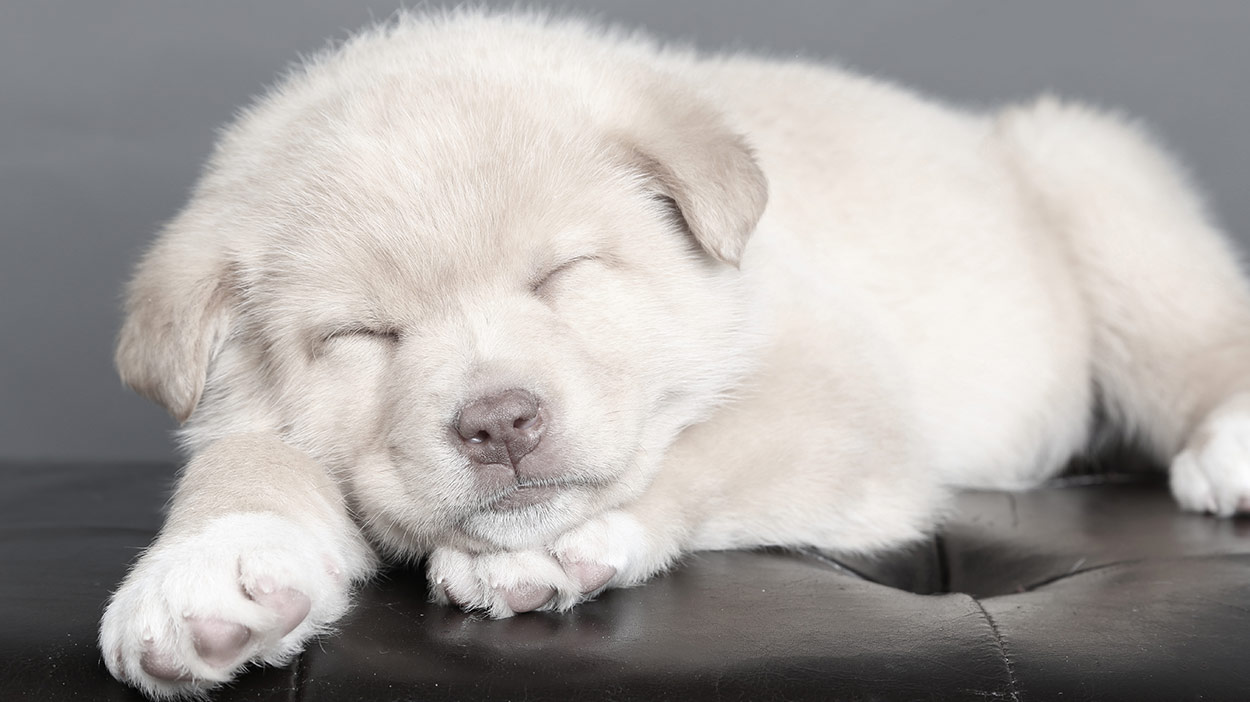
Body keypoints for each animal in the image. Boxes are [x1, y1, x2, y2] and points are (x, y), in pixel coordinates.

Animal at [100, 8, 1250, 694]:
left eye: (562, 274)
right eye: (363, 337)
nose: (498, 423)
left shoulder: (844, 396)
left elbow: (703, 445)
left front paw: (550, 548)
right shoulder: (242, 409)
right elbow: (243, 460)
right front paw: (205, 576)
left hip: (1096, 191)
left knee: (1207, 331)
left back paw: (1231, 449)